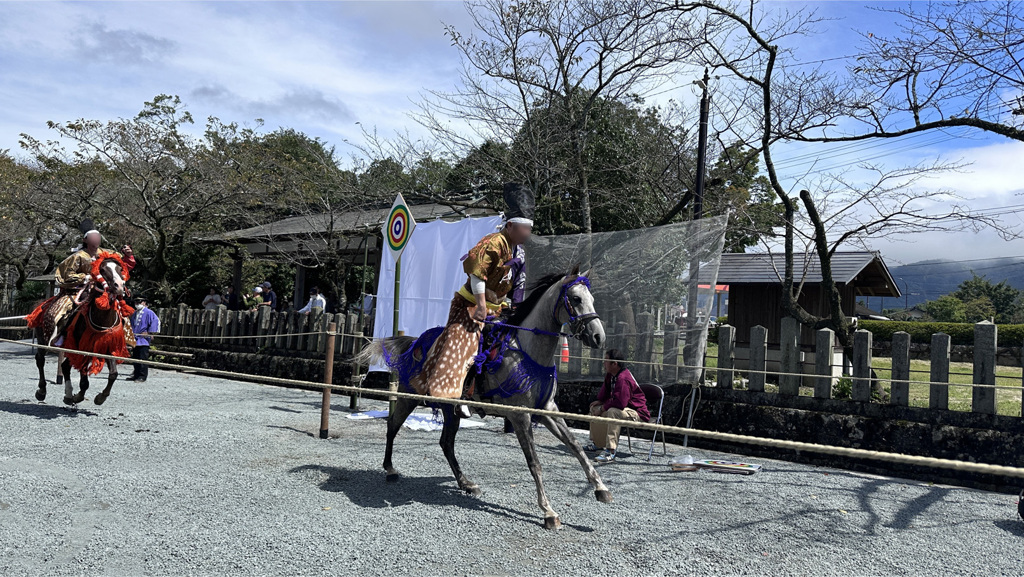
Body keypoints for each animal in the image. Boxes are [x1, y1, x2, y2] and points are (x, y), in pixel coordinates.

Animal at [33, 253, 134, 405]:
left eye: (120, 269)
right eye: (102, 270)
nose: (119, 286)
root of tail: (43, 304)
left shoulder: (108, 346)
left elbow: (113, 374)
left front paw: (100, 397)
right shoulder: (83, 348)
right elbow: (84, 377)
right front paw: (80, 396)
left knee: (65, 366)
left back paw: (68, 395)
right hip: (43, 338)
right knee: (40, 359)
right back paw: (42, 391)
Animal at [360, 268, 606, 528]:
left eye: (591, 299)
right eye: (576, 299)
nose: (598, 337)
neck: (528, 354)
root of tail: (415, 342)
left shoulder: (548, 409)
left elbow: (575, 445)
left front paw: (601, 488)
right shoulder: (520, 415)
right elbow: (534, 462)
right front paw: (548, 511)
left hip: (450, 408)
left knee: (446, 443)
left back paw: (465, 483)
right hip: (410, 396)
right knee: (393, 425)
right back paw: (390, 469)